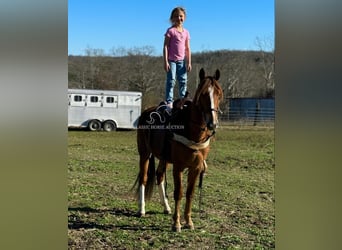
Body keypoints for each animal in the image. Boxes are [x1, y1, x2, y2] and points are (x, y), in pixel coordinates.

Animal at [132, 68, 223, 232]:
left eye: (219, 93)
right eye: (203, 94)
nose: (212, 123)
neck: (192, 132)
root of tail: (146, 112)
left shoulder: (196, 168)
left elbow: (189, 193)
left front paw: (189, 221)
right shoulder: (178, 167)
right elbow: (178, 193)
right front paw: (176, 223)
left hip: (164, 158)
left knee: (159, 176)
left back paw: (166, 207)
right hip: (144, 153)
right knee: (144, 178)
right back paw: (141, 209)